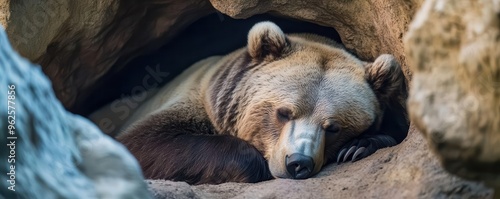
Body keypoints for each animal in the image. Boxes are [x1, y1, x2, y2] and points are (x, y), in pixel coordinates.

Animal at [91, 21, 410, 185]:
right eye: (284, 113)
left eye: (333, 127)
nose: (298, 163)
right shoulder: (190, 100)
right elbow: (142, 143)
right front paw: (254, 162)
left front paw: (357, 146)